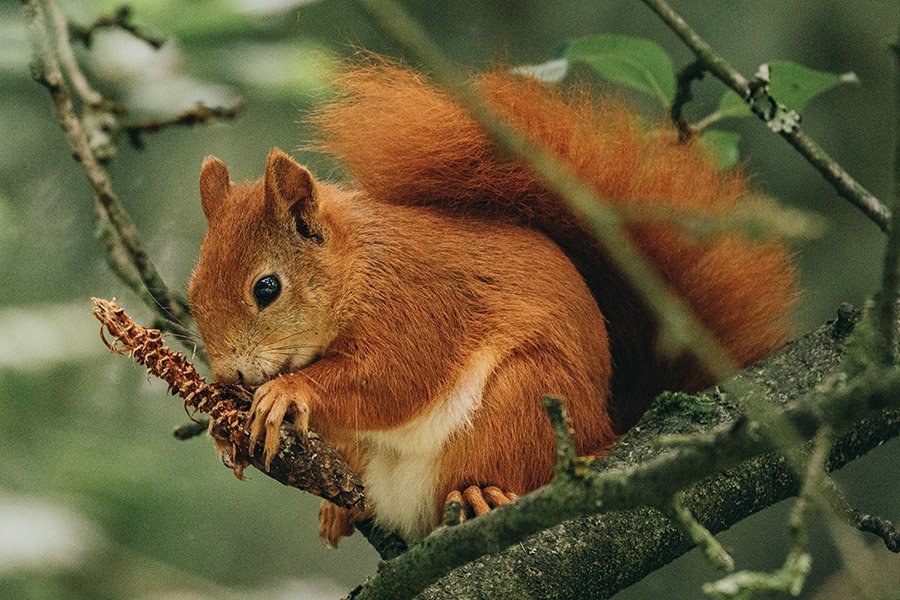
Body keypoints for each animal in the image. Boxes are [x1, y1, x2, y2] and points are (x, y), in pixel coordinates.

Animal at [185, 59, 796, 544]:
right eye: (191, 292)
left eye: (267, 288)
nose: (230, 375)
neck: (358, 271)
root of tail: (604, 426)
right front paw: (223, 426)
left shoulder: (418, 307)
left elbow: (393, 378)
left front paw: (287, 391)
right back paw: (340, 509)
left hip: (522, 400)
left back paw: (482, 492)